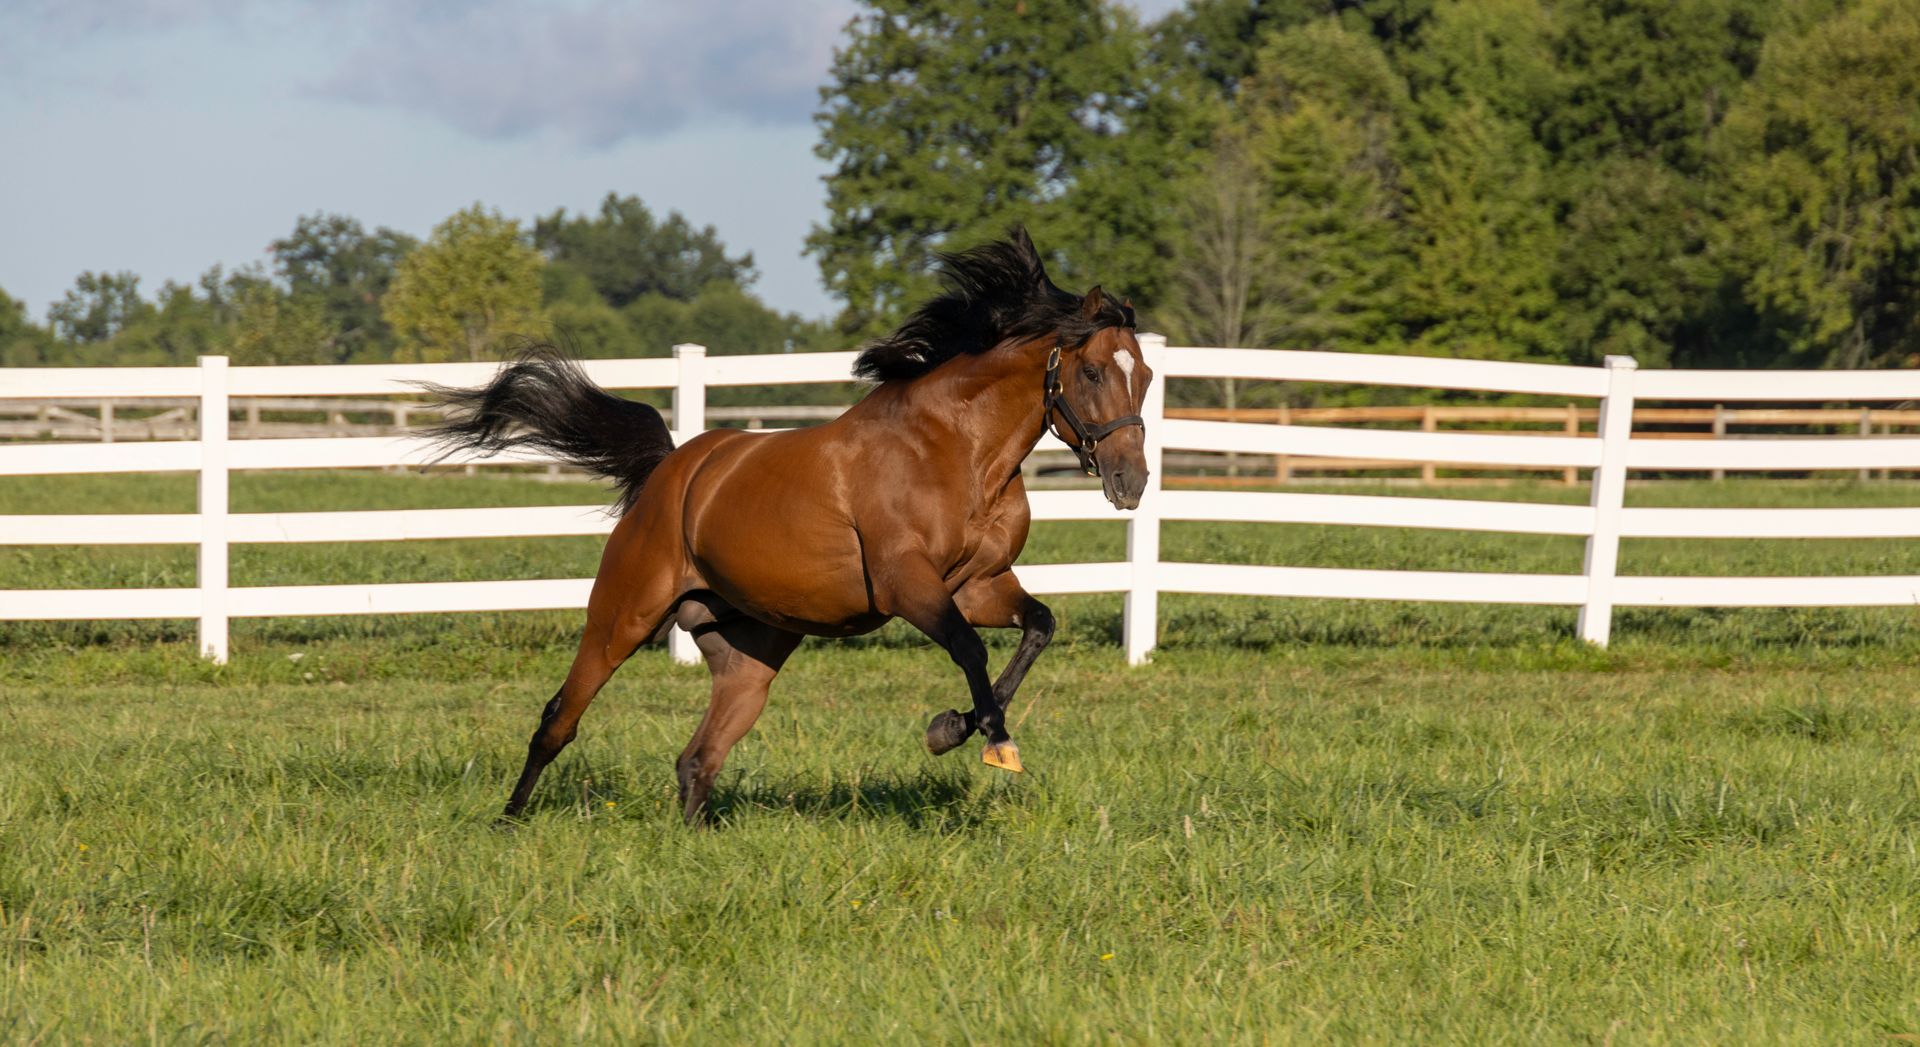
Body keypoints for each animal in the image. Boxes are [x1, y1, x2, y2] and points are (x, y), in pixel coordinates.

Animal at [428, 229, 1153, 824]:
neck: (954, 452)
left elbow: (1038, 625)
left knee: (698, 758)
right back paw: (507, 822)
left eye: (1144, 374)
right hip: (621, 616)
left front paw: (954, 726)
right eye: (1092, 370)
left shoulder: (977, 585)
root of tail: (670, 471)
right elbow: (971, 648)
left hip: (749, 657)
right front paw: (984, 738)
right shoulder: (907, 585)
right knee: (559, 720)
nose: (1132, 481)